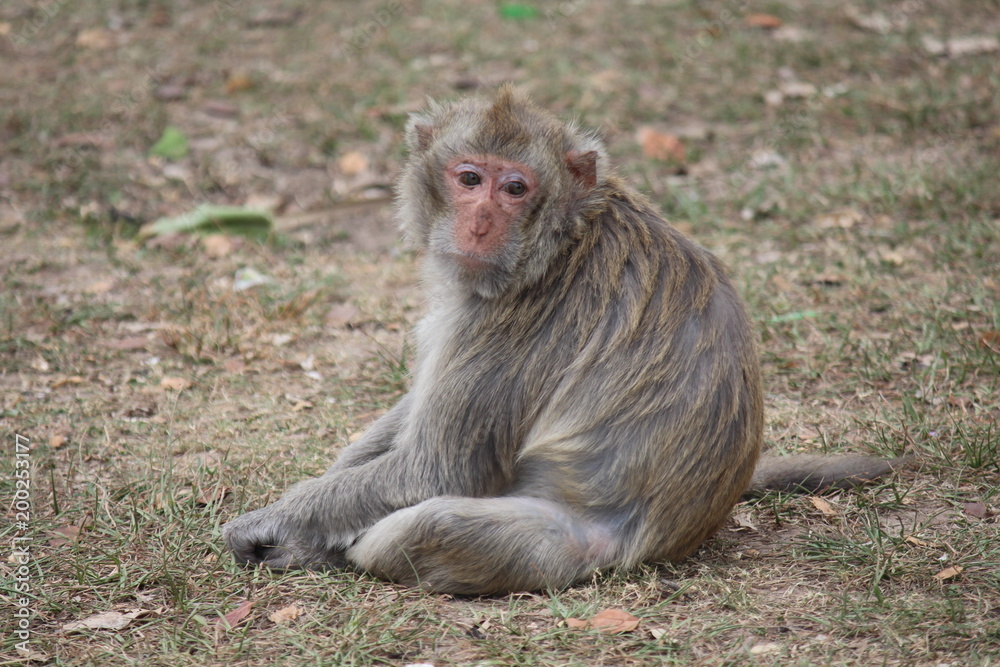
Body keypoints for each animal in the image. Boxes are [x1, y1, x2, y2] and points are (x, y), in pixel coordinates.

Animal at [223, 85, 904, 596]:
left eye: (514, 188)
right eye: (468, 178)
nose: (479, 223)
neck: (564, 233)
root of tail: (680, 535)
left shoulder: (523, 317)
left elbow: (437, 468)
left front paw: (275, 521)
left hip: (570, 546)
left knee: (420, 526)